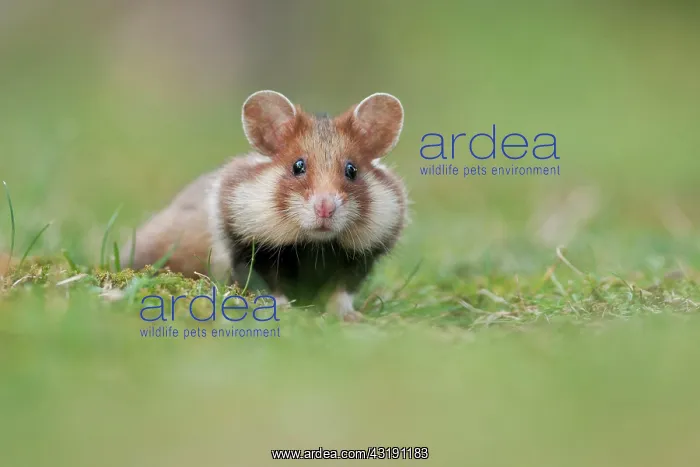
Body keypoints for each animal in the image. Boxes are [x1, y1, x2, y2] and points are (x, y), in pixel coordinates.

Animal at [122, 90, 409, 321]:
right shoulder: (247, 249)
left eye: (352, 170)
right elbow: (267, 285)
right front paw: (285, 310)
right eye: (297, 166)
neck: (314, 246)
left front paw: (351, 317)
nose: (325, 209)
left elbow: (342, 290)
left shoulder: (360, 257)